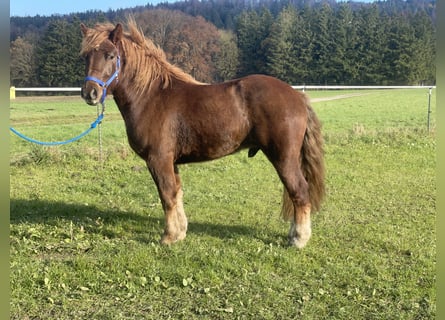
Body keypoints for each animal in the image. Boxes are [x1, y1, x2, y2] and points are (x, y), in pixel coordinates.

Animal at [80, 21, 322, 249]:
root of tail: (297, 96)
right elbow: (176, 194)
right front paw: (180, 232)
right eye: (86, 56)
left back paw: (299, 238)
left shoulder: (158, 160)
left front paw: (168, 236)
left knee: (300, 191)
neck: (151, 96)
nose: (90, 93)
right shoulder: (171, 162)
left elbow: (167, 196)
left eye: (111, 55)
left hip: (284, 158)